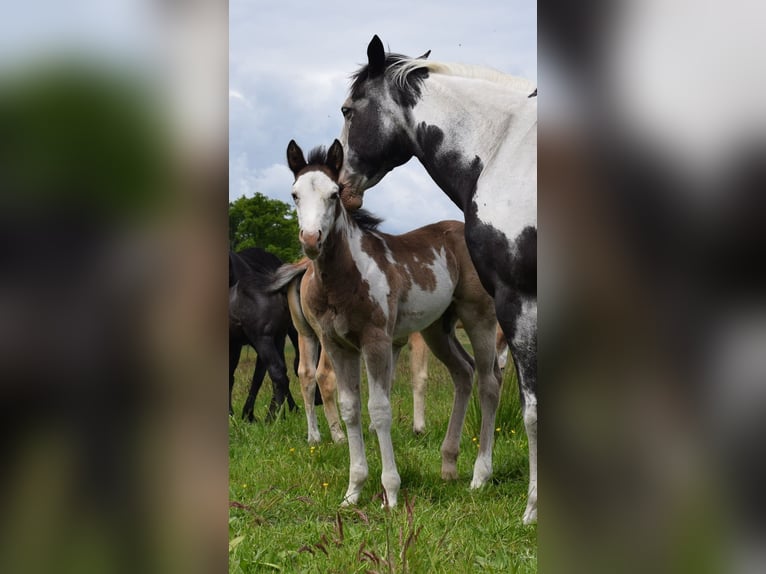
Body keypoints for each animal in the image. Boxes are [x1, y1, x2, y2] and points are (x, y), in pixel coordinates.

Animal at [272, 140, 501, 509]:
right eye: (294, 194)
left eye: (334, 194)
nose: (310, 239)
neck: (344, 279)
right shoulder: (337, 345)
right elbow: (351, 409)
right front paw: (353, 492)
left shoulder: (376, 341)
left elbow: (379, 409)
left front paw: (390, 493)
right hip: (437, 328)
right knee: (464, 373)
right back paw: (448, 465)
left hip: (479, 317)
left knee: (489, 382)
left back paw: (480, 476)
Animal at [336, 36, 537, 524]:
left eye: (348, 110)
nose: (342, 187)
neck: (504, 147)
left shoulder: (517, 296)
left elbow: (531, 409)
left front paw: (533, 509)